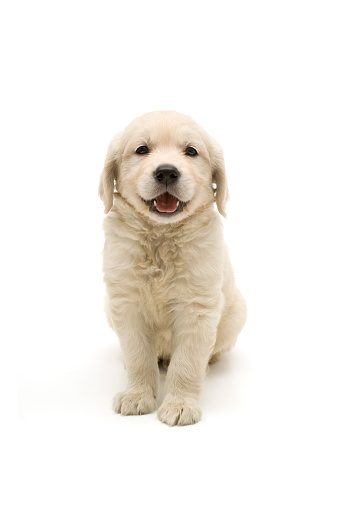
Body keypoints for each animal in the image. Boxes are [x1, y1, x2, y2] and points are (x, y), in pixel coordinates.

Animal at [99, 110, 247, 424]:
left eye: (191, 151)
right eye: (142, 149)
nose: (167, 172)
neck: (161, 237)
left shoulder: (197, 308)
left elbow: (187, 362)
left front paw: (180, 404)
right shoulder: (126, 303)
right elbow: (137, 355)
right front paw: (137, 395)